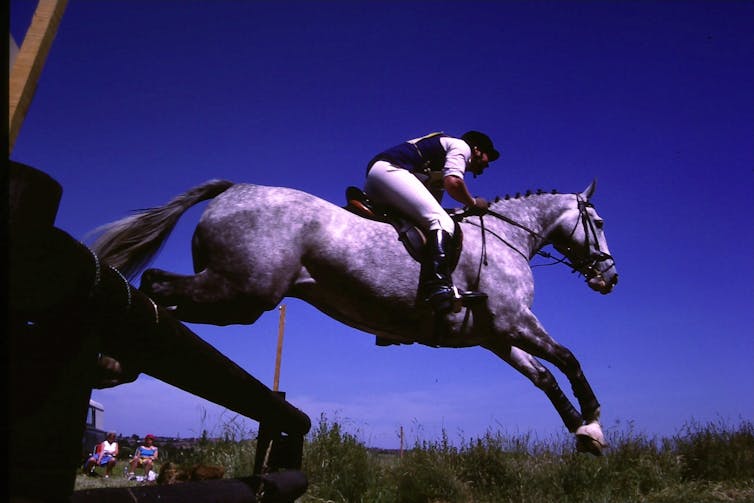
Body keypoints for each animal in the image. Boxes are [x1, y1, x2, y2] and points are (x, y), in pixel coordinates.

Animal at [91, 179, 618, 454]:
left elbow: (544, 376)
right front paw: (593, 420)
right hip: (241, 292)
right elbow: (567, 359)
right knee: (157, 285)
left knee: (167, 297)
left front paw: (583, 433)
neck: (512, 239)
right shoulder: (514, 321)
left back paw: (118, 361)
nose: (610, 278)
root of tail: (233, 190)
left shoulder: (496, 335)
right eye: (599, 222)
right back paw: (116, 357)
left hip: (235, 296)